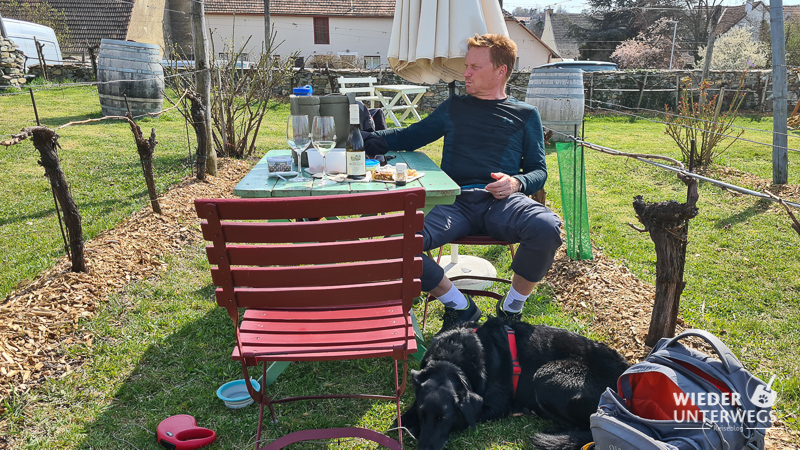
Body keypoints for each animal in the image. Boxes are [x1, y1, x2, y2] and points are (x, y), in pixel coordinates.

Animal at [396, 316, 628, 450]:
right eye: (422, 413)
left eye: (444, 418)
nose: (423, 448)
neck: (450, 359)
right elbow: (406, 414)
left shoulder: (494, 406)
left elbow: (465, 418)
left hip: (546, 377)